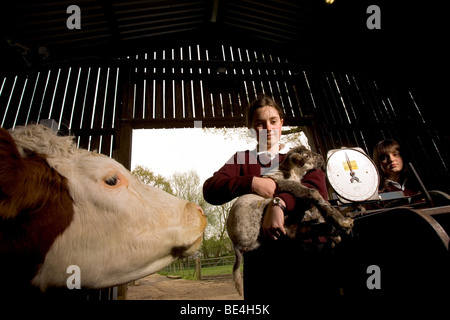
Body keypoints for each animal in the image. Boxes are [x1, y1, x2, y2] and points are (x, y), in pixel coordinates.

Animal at [227, 145, 354, 296]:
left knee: (296, 229)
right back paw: (333, 228)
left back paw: (331, 231)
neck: (290, 172)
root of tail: (236, 244)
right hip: (261, 211)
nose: (321, 158)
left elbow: (313, 206)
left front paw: (338, 227)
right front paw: (341, 221)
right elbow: (313, 193)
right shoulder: (289, 186)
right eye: (307, 155)